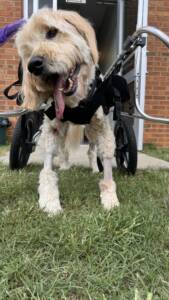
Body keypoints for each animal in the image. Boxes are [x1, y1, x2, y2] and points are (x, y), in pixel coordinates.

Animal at [15, 8, 119, 214]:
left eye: (51, 32)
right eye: (27, 51)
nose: (33, 65)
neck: (74, 104)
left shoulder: (102, 128)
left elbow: (107, 162)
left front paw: (110, 198)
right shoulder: (52, 128)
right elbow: (47, 168)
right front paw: (49, 200)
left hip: (90, 131)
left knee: (91, 150)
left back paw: (94, 168)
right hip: (63, 130)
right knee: (63, 150)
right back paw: (64, 165)